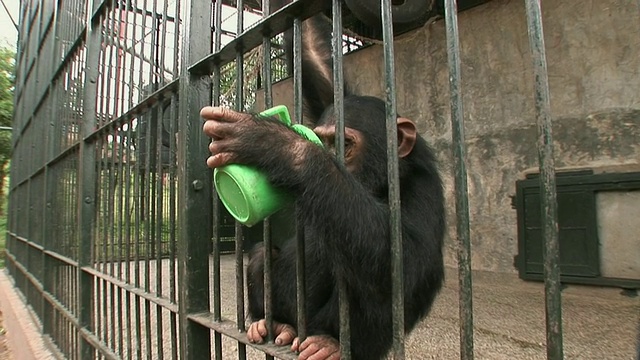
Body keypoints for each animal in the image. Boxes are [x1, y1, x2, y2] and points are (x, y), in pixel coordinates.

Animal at [200, 11, 444, 360]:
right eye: (325, 139)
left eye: (344, 144)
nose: (329, 154)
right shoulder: (329, 96)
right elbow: (314, 58)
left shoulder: (421, 189)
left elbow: (405, 260)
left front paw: (276, 144)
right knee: (261, 252)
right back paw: (270, 324)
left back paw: (330, 343)